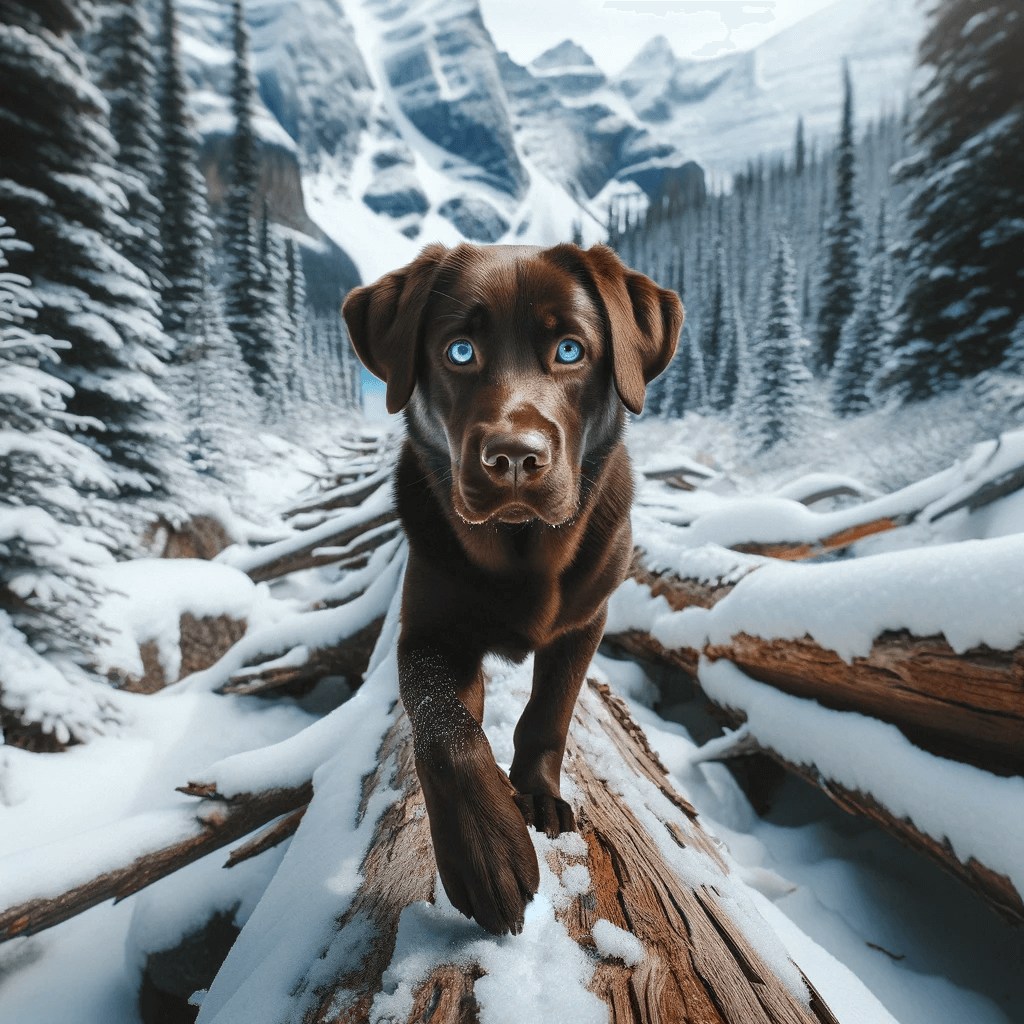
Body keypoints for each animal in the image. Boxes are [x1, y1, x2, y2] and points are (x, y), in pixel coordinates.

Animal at [342, 241, 679, 937]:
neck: (523, 552)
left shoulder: (586, 621)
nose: (515, 457)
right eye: (459, 350)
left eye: (571, 350)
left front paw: (539, 797)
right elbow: (444, 727)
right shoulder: (428, 632)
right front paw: (488, 854)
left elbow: (550, 711)